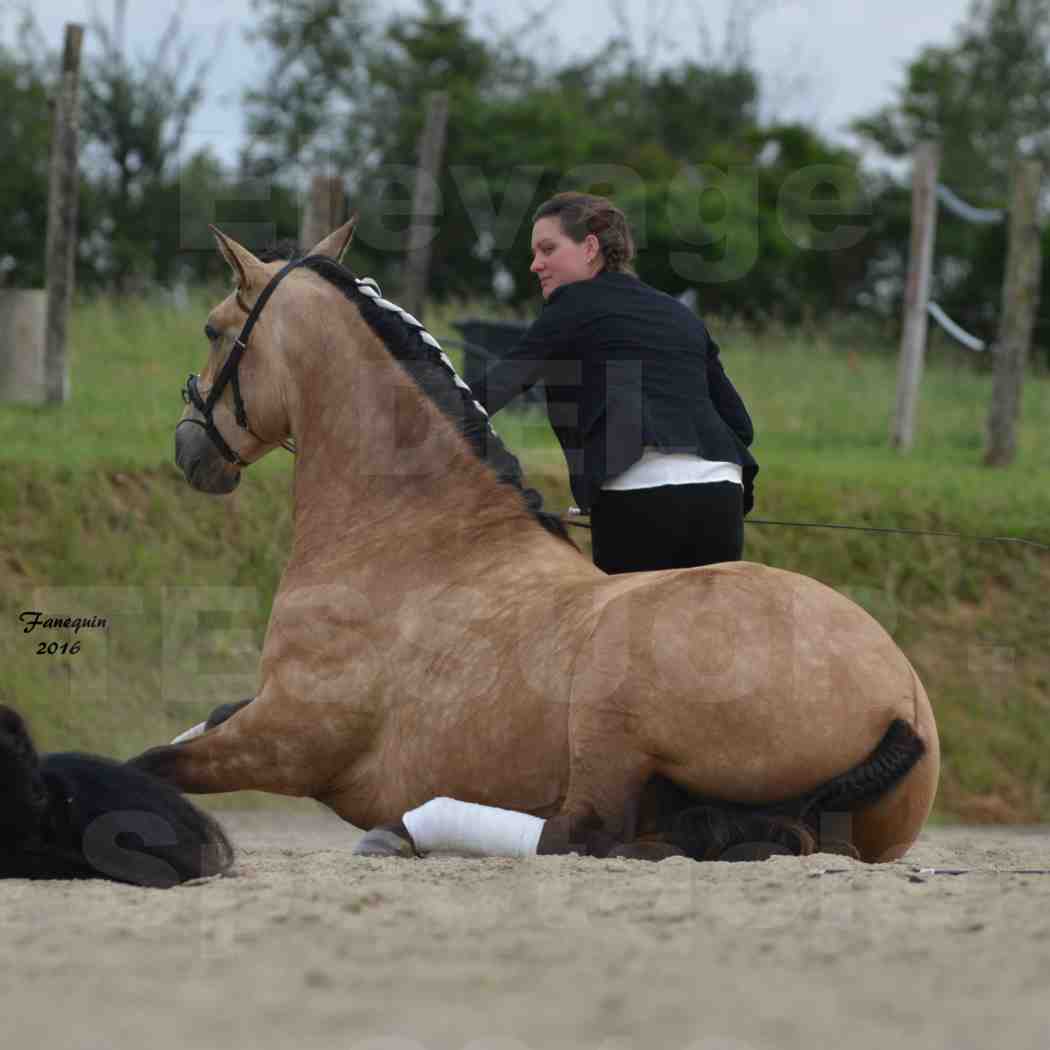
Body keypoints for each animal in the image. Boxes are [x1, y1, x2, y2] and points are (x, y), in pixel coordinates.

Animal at [127, 219, 940, 860]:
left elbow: (152, 761)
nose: (188, 447)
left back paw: (405, 831)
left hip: (612, 713)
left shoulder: (293, 737)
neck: (406, 534)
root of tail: (897, 696)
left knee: (583, 832)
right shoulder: (260, 712)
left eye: (213, 328)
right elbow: (194, 724)